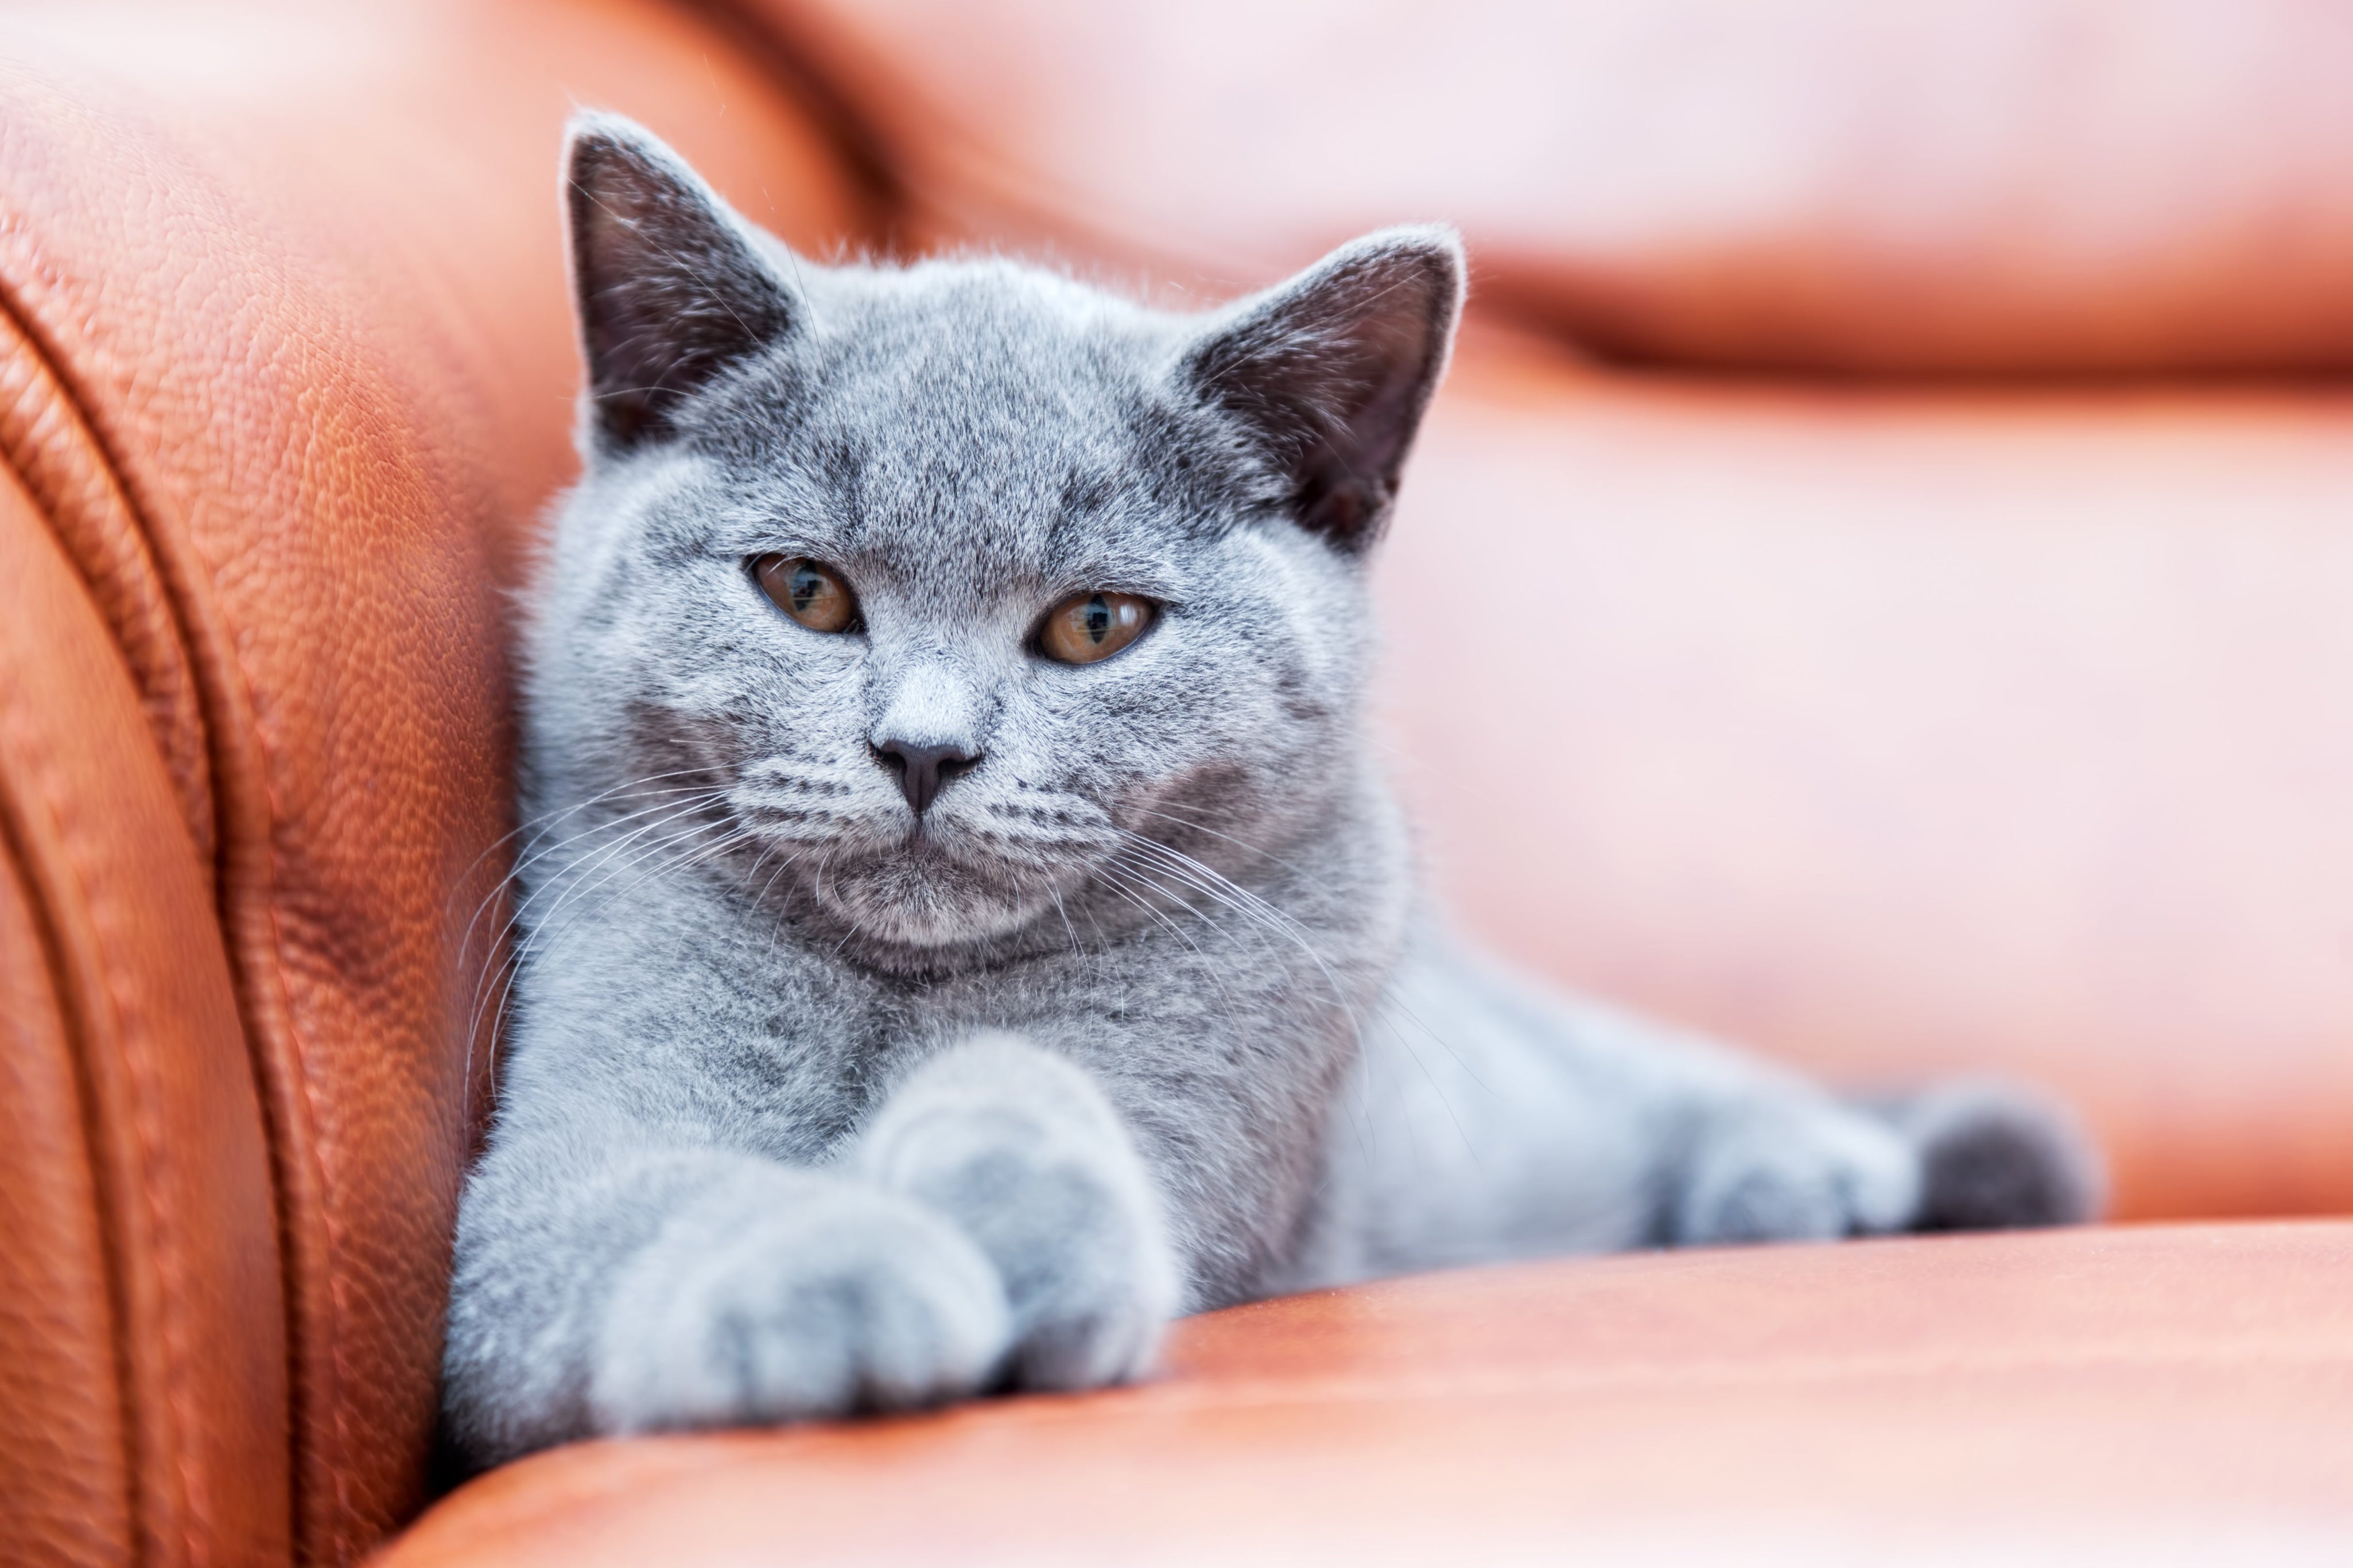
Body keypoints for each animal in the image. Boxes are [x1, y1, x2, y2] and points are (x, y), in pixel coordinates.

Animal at [442, 113, 2099, 1476]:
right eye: (804, 589)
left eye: (1094, 625)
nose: (922, 750)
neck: (898, 990)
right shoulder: (534, 1187)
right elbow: (635, 1201)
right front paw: (845, 1270)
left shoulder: (1222, 1093)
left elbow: (1038, 1081)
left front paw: (1025, 1224)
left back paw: (1818, 1168)